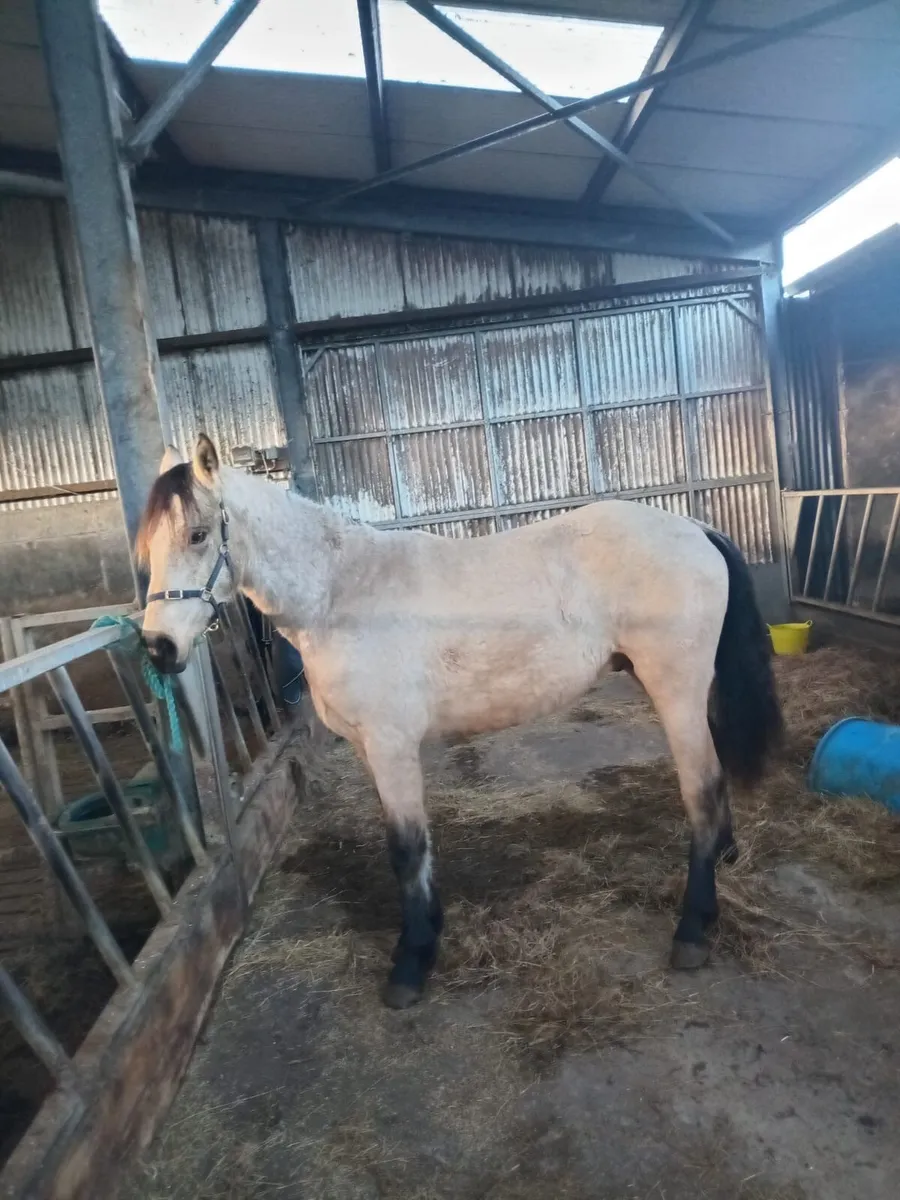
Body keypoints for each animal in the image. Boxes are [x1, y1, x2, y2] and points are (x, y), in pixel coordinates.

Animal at [138, 434, 783, 1009]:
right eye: (147, 550)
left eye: (197, 535)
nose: (158, 649)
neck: (341, 595)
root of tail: (695, 529)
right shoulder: (375, 749)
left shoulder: (391, 745)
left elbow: (406, 847)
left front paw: (412, 962)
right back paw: (725, 857)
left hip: (675, 690)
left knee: (701, 790)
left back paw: (694, 929)